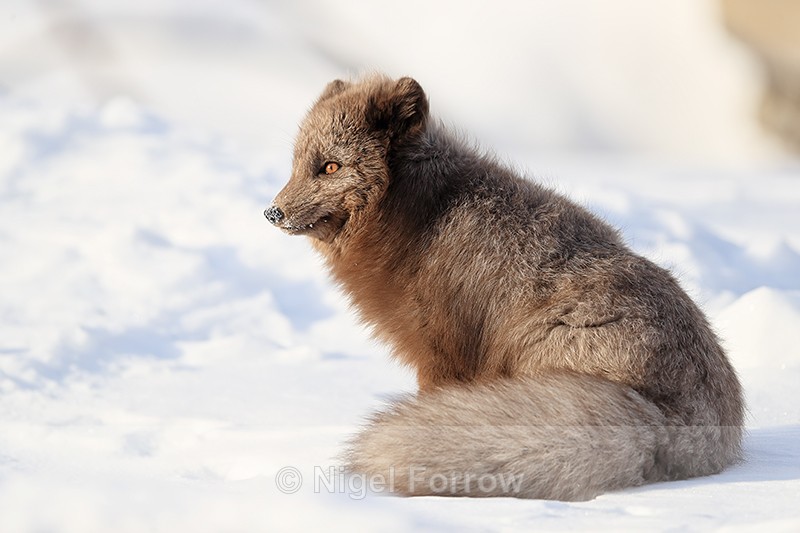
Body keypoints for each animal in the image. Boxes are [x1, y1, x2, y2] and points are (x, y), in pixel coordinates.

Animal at [264, 75, 744, 501]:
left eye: (330, 167)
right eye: (296, 164)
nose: (272, 212)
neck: (423, 217)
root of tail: (688, 418)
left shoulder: (443, 352)